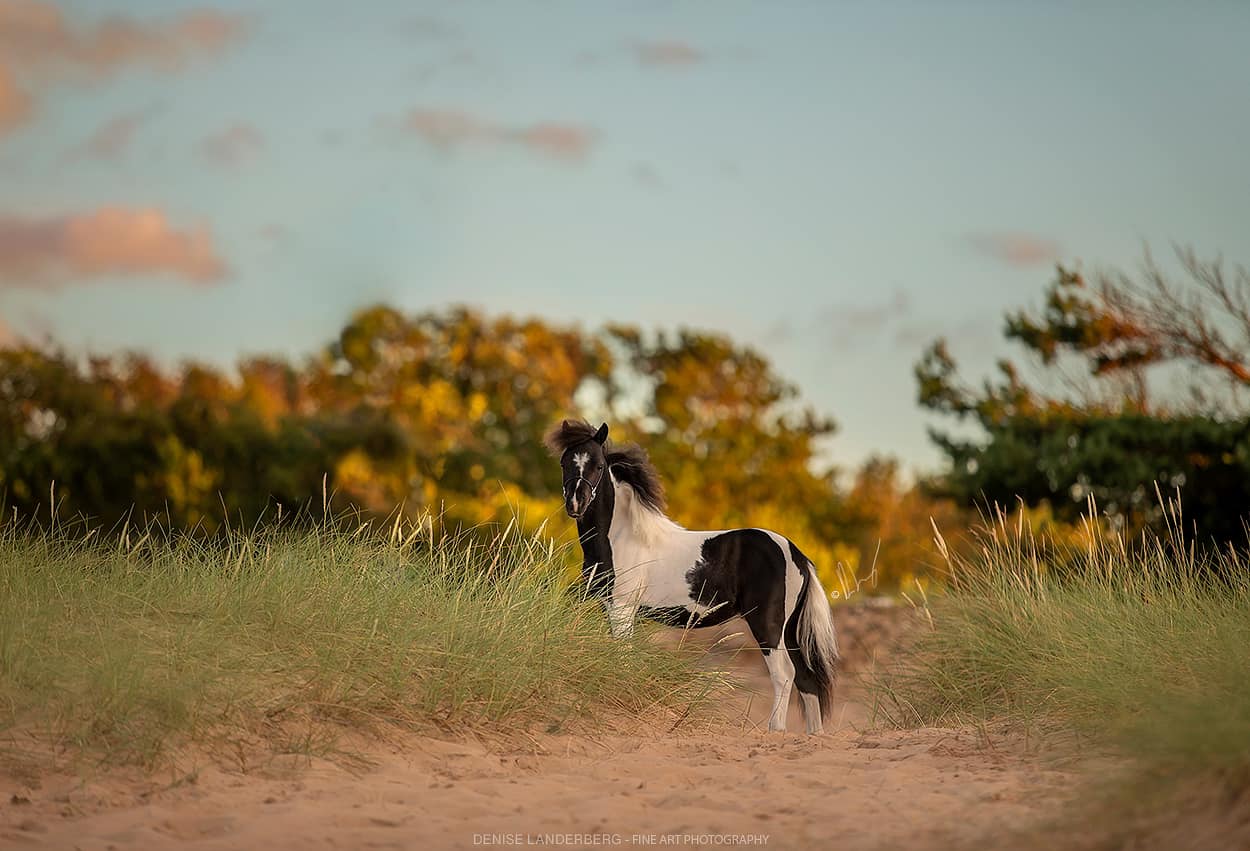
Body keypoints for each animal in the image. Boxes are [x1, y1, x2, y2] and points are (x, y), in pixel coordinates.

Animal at [544, 418, 840, 735]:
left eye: (598, 465)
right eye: (564, 463)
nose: (576, 503)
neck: (620, 538)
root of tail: (796, 554)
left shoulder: (622, 607)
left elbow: (621, 658)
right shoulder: (604, 603)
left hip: (768, 625)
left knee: (784, 675)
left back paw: (775, 730)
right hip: (790, 629)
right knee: (807, 680)